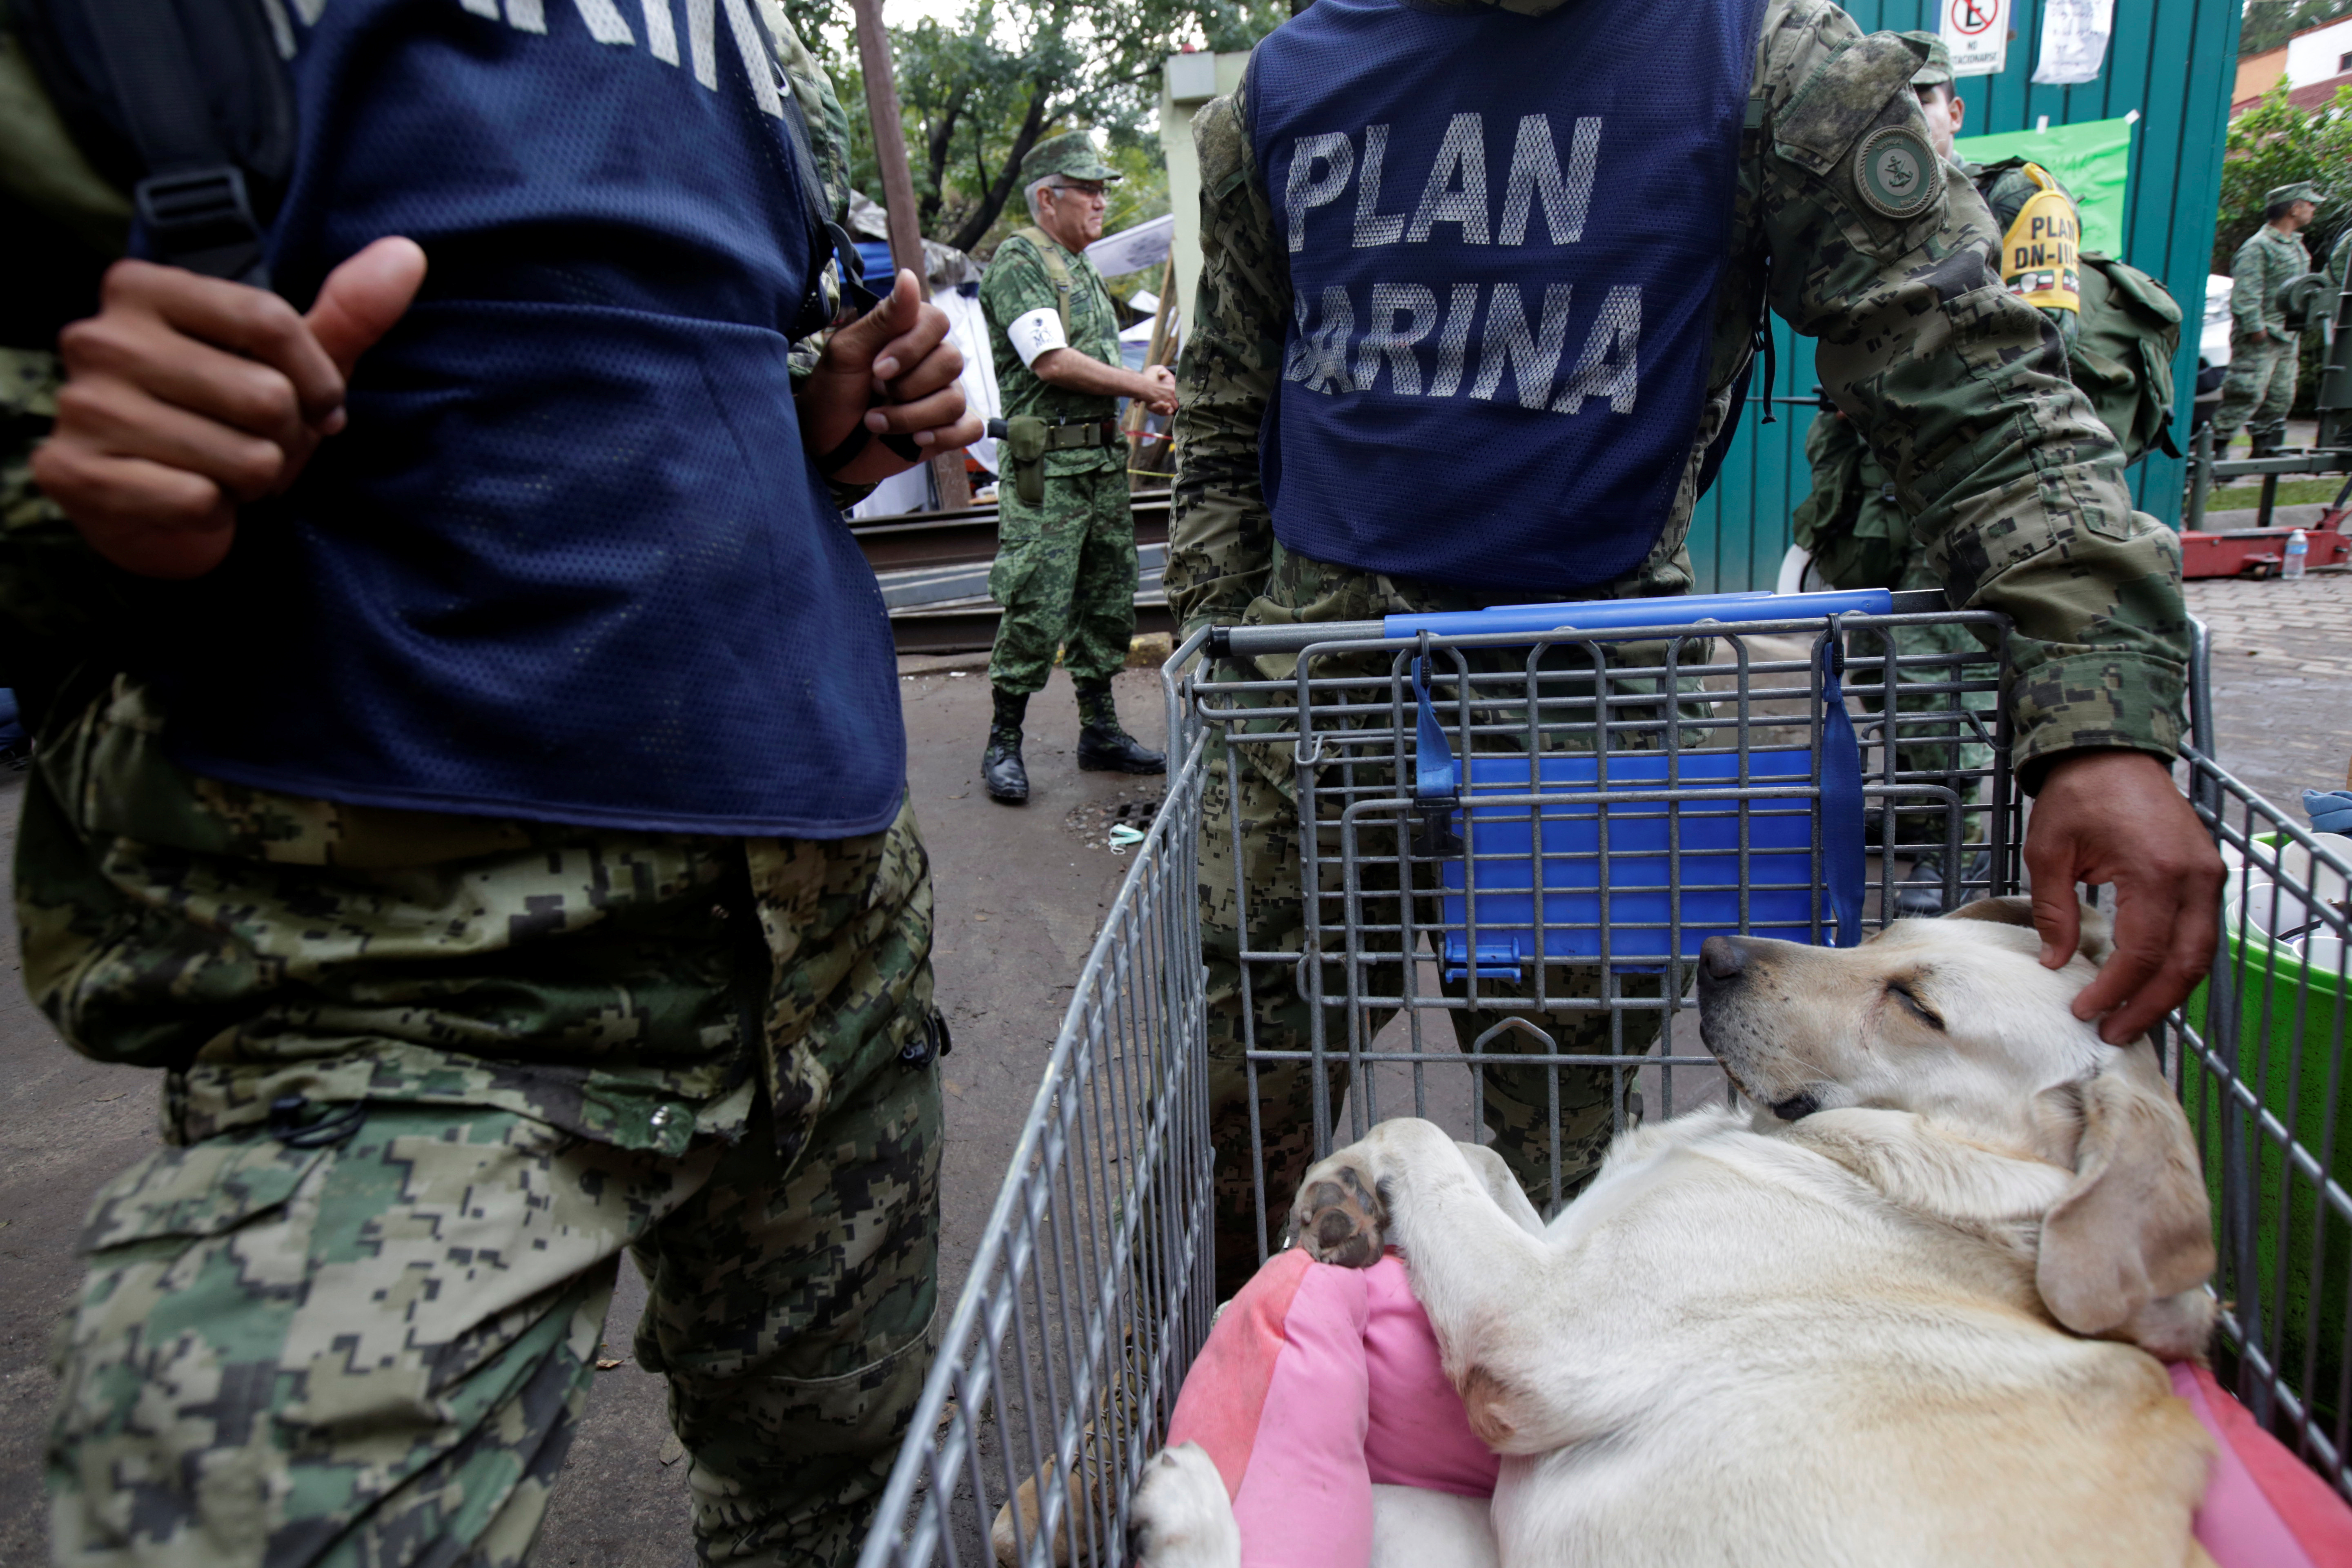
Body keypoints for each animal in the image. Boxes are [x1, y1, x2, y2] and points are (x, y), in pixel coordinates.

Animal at [1138, 902, 2220, 1568]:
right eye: (1883, 932)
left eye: (1918, 1004)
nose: (1715, 954)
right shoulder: (1557, 1239)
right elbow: (1478, 1158)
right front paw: (1346, 1190)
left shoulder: (1541, 1324)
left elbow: (1421, 1131)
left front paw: (1354, 1182)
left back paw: (1178, 1508)